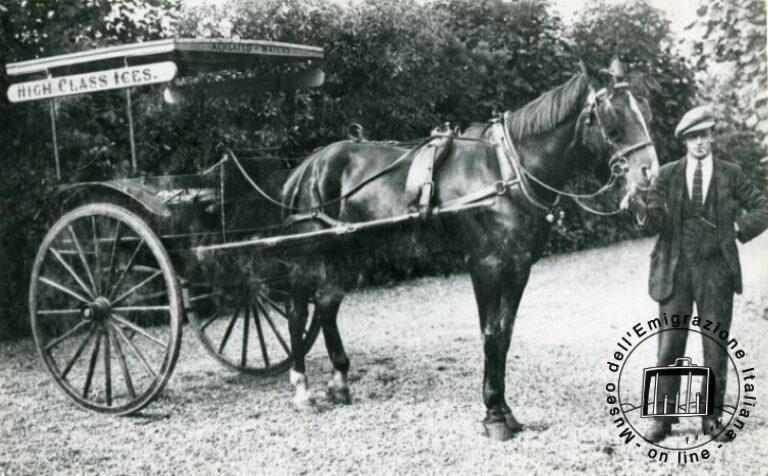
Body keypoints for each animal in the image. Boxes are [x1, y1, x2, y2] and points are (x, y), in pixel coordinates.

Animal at [272, 61, 656, 440]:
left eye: (644, 110)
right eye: (613, 120)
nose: (648, 173)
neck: (505, 173)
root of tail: (307, 166)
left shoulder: (519, 267)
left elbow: (505, 334)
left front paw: (505, 411)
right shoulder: (485, 266)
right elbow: (490, 334)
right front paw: (494, 415)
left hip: (348, 250)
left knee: (326, 303)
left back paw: (339, 382)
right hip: (309, 254)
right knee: (297, 312)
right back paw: (302, 389)